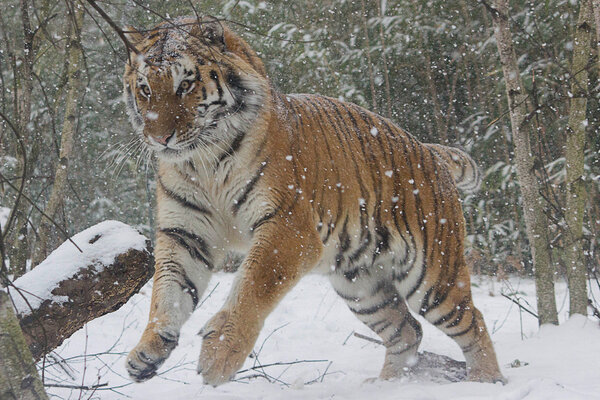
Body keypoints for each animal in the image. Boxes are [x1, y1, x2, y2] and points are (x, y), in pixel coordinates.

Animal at [123, 16, 506, 388]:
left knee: (472, 321)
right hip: (361, 286)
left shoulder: (288, 227)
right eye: (145, 89)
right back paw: (385, 384)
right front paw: (147, 352)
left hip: (432, 276)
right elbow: (167, 293)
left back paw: (485, 380)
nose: (158, 137)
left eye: (184, 85)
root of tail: (431, 151)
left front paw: (220, 355)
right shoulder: (185, 234)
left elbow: (252, 288)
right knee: (406, 331)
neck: (202, 162)